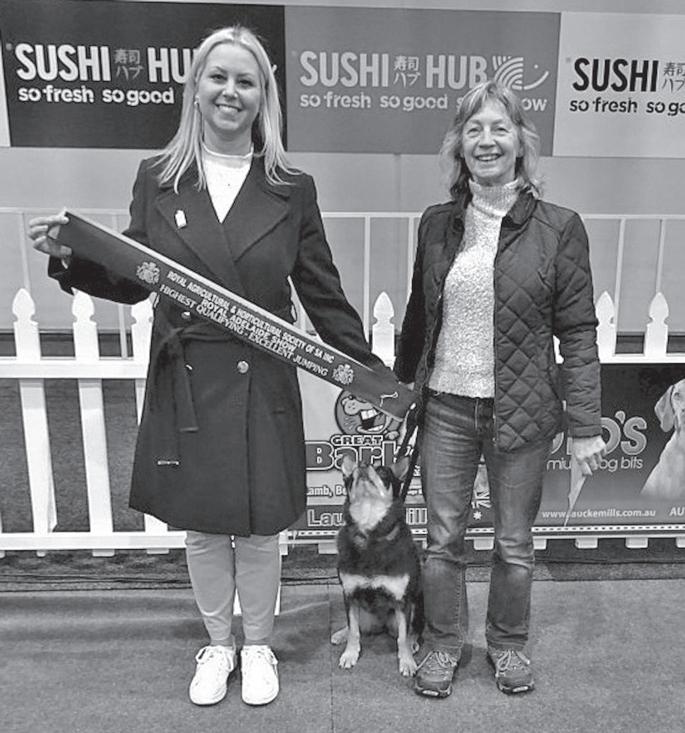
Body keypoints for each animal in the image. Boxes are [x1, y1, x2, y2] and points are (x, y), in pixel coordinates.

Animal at [331, 454, 423, 676]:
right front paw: (350, 654)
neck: (370, 532)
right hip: (361, 613)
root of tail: (381, 624)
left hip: (414, 606)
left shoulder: (403, 601)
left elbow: (403, 637)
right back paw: (340, 634)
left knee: (411, 631)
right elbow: (354, 631)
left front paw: (407, 661)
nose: (363, 466)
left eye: (382, 471)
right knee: (355, 626)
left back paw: (414, 643)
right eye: (351, 473)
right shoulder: (350, 595)